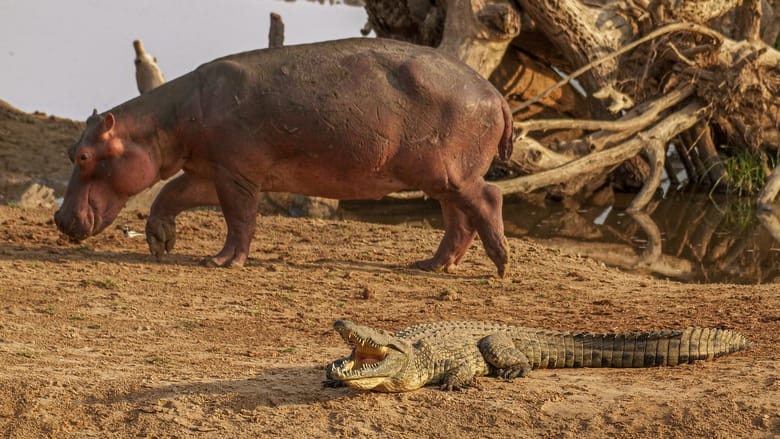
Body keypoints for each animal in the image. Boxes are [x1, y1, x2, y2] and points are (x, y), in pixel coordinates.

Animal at [54, 38, 513, 276]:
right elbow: (171, 194)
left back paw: (501, 264)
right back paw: (430, 265)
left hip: (449, 173)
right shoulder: (210, 171)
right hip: (442, 179)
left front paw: (221, 262)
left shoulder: (236, 173)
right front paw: (160, 242)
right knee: (459, 220)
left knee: (488, 199)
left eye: (83, 156)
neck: (165, 121)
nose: (58, 218)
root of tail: (494, 93)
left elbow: (239, 219)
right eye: (71, 151)